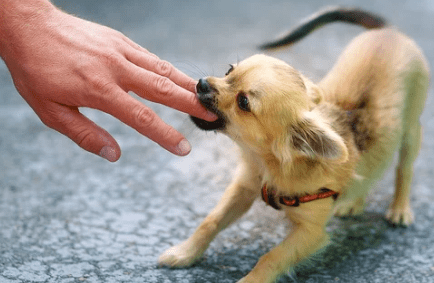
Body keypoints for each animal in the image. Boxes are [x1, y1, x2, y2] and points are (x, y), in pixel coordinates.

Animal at [158, 7, 428, 282]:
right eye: (228, 71)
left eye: (243, 102)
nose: (201, 83)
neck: (267, 163)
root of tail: (389, 32)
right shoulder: (243, 188)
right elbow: (210, 221)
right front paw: (185, 252)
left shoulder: (311, 232)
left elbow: (272, 257)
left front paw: (251, 280)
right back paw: (353, 202)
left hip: (411, 131)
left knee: (404, 170)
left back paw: (399, 208)